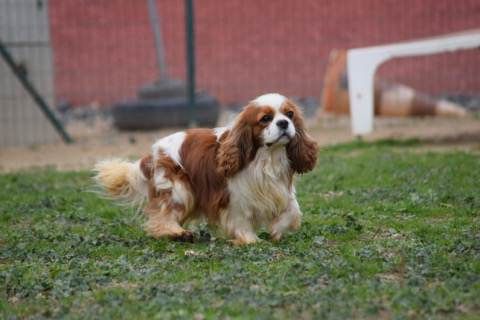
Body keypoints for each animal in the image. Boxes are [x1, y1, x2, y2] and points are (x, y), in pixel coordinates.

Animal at [95, 93, 316, 245]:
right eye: (266, 119)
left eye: (290, 114)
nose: (284, 123)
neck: (267, 156)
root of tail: (153, 153)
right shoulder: (233, 197)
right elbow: (241, 221)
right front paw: (250, 240)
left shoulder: (282, 190)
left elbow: (292, 211)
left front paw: (276, 231)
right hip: (179, 190)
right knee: (161, 219)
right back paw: (178, 233)